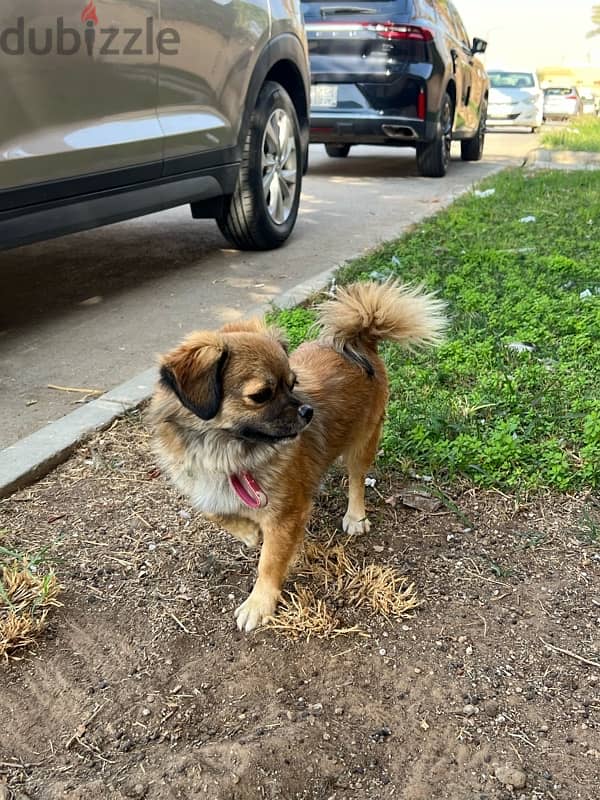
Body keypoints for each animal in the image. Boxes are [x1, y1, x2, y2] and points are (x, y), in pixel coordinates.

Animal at [150, 282, 446, 632]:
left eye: (293, 384)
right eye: (261, 396)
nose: (307, 411)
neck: (225, 452)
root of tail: (362, 340)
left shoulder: (283, 517)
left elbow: (269, 562)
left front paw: (259, 603)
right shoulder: (205, 488)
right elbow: (215, 512)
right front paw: (248, 532)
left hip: (363, 442)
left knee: (357, 479)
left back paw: (355, 516)